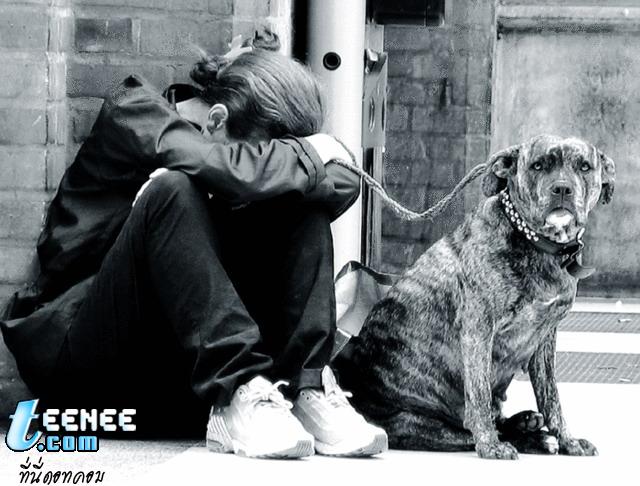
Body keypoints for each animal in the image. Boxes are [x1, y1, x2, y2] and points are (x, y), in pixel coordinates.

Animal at [336, 134, 615, 459]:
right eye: (538, 165)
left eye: (584, 167)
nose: (562, 188)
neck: (537, 244)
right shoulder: (478, 329)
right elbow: (479, 394)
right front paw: (490, 446)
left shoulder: (545, 338)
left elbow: (552, 397)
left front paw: (568, 440)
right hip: (411, 422)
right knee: (465, 429)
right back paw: (518, 434)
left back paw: (529, 426)